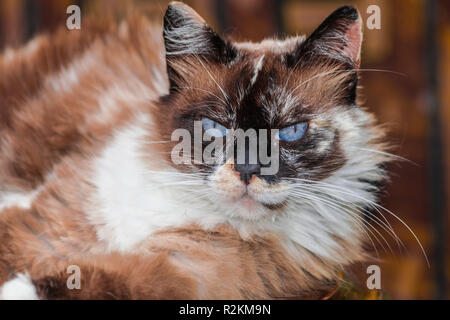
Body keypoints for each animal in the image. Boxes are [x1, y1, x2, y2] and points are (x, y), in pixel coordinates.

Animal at [0, 1, 390, 298]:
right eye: (215, 127)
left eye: (291, 131)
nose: (248, 169)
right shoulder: (49, 224)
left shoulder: (186, 272)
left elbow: (89, 280)